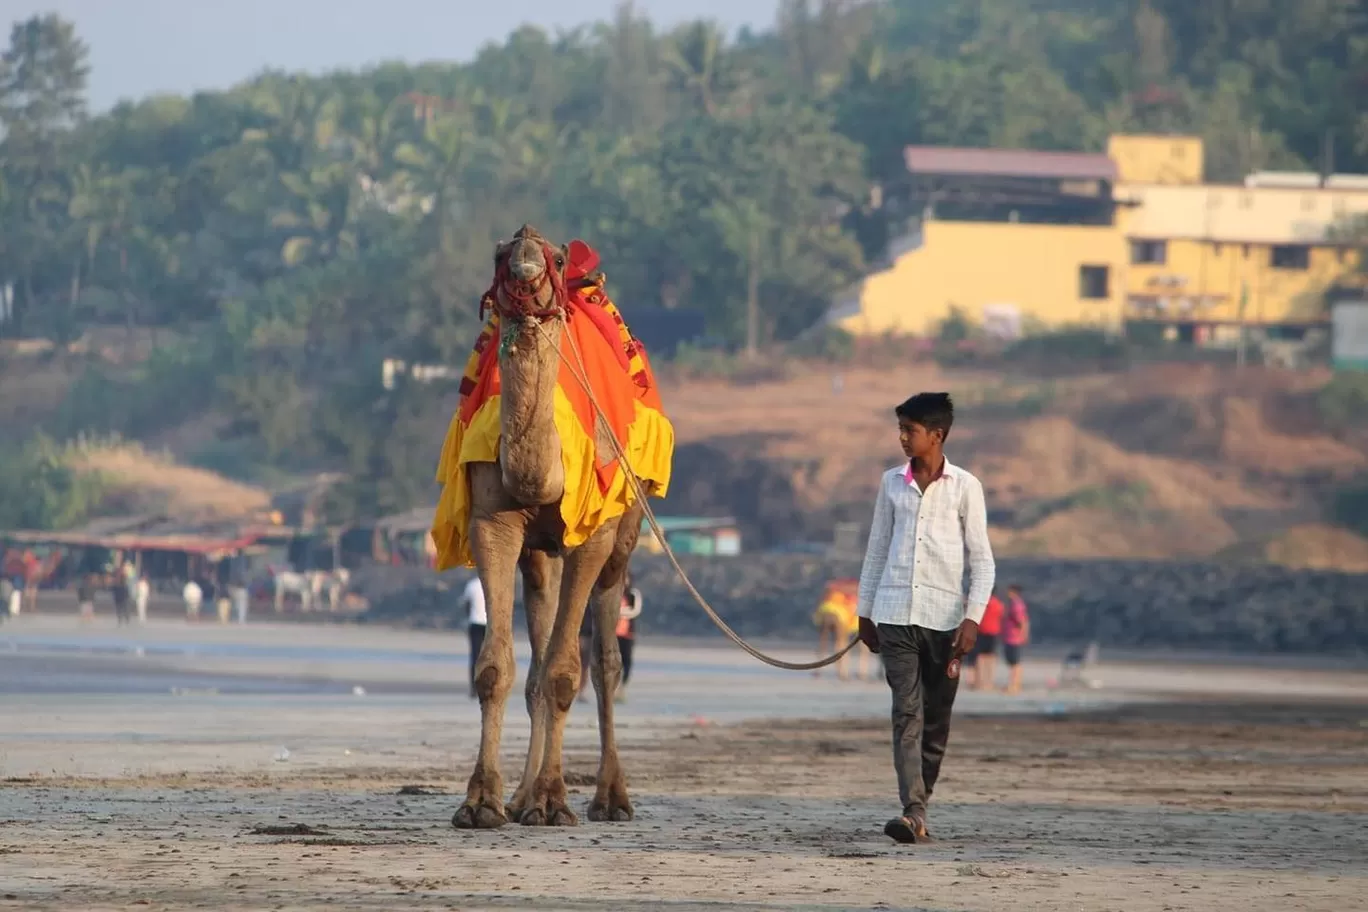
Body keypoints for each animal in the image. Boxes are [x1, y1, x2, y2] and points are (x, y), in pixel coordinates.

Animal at [448, 224, 640, 831]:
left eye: (555, 256)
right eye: (500, 253)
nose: (527, 264)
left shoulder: (593, 534)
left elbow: (565, 673)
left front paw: (556, 800)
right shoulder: (493, 521)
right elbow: (495, 669)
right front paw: (482, 802)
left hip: (624, 535)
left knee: (603, 661)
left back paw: (608, 797)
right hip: (541, 554)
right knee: (537, 644)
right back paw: (522, 797)